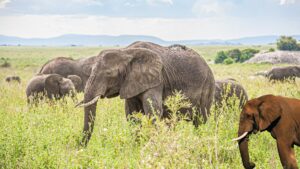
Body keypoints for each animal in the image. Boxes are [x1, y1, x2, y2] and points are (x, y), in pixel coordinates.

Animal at [78, 41, 216, 146]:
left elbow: (153, 112)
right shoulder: (130, 83)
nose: (80, 148)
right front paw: (137, 147)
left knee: (200, 121)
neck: (125, 52)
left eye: (108, 74)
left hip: (208, 85)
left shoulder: (156, 80)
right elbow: (132, 115)